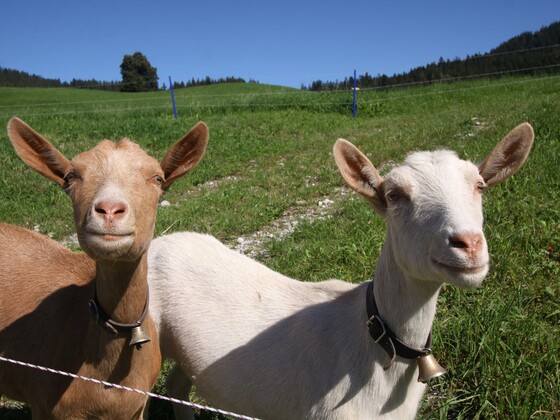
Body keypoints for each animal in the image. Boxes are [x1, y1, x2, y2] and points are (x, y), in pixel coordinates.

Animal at [148, 123, 532, 418]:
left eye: (479, 185)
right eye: (394, 195)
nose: (468, 243)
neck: (375, 341)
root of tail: (159, 243)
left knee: (177, 387)